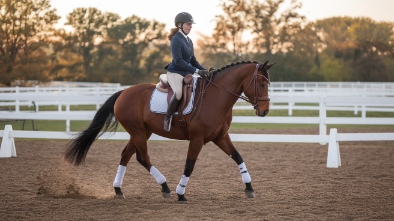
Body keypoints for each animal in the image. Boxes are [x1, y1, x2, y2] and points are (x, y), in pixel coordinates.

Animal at [64, 59, 274, 201]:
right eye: (262, 83)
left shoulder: (220, 137)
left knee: (126, 155)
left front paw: (249, 188)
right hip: (138, 132)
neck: (216, 97)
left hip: (142, 132)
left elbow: (238, 157)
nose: (264, 111)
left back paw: (119, 190)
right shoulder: (197, 139)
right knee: (142, 157)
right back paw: (165, 187)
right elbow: (189, 165)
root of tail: (124, 92)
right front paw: (181, 194)